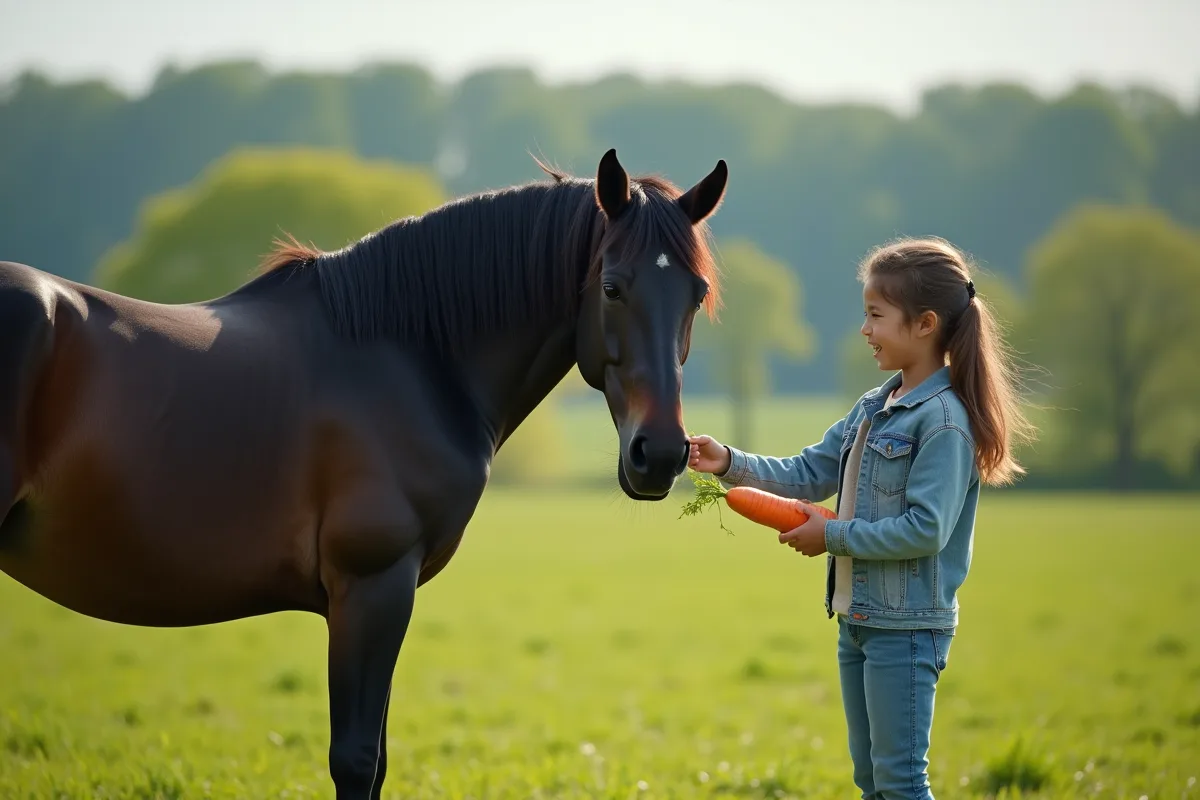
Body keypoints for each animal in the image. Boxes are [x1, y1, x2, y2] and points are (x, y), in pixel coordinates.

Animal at [0, 148, 728, 797]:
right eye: (611, 286)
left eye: (696, 295)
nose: (661, 453)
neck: (411, 355)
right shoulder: (372, 586)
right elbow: (356, 760)